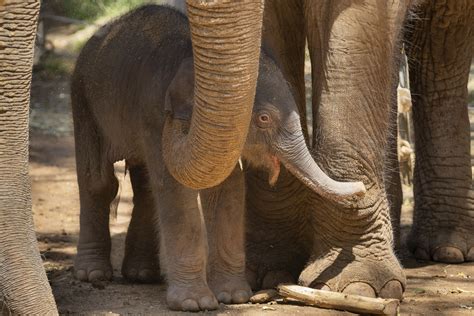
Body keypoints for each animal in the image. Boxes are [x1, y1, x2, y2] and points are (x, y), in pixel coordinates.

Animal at [71, 3, 362, 312]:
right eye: (263, 118)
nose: (361, 189)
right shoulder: (153, 116)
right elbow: (176, 190)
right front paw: (194, 303)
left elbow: (227, 190)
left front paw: (234, 297)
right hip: (82, 98)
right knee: (99, 183)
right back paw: (93, 274)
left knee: (145, 186)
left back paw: (141, 275)